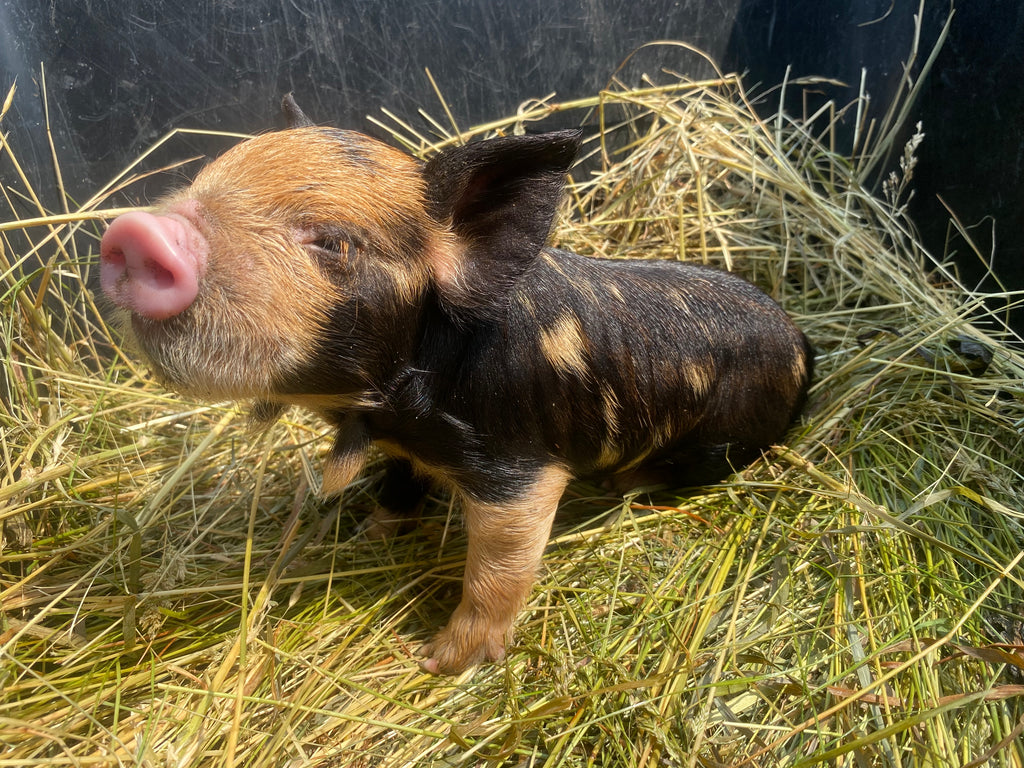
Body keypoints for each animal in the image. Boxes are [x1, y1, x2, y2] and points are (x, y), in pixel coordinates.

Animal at [99, 95, 813, 675]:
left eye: (334, 242)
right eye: (200, 180)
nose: (136, 230)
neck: (386, 411)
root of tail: (804, 346)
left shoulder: (519, 472)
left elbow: (498, 571)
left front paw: (439, 663)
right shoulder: (403, 449)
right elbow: (397, 488)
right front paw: (368, 536)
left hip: (721, 441)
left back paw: (626, 486)